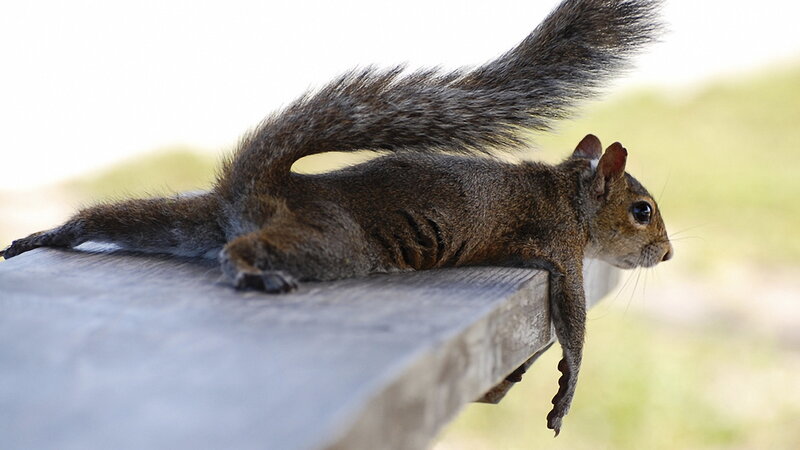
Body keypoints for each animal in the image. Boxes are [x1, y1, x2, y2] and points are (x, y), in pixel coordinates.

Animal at [1, 0, 670, 435]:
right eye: (642, 212)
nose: (665, 255)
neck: (569, 195)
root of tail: (264, 185)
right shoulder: (559, 247)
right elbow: (573, 324)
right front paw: (565, 391)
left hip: (188, 219)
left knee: (117, 219)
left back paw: (48, 234)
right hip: (335, 243)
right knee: (242, 251)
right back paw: (250, 272)